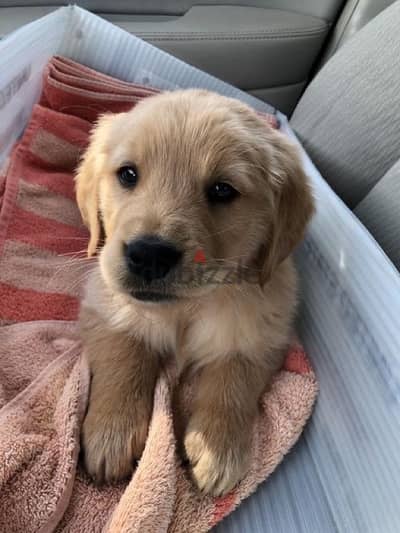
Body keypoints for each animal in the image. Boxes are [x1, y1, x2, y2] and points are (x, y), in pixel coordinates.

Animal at [74, 90, 312, 494]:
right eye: (128, 174)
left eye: (222, 189)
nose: (149, 254)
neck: (187, 308)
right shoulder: (104, 299)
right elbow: (125, 352)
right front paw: (111, 431)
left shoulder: (263, 328)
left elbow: (234, 377)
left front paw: (218, 446)